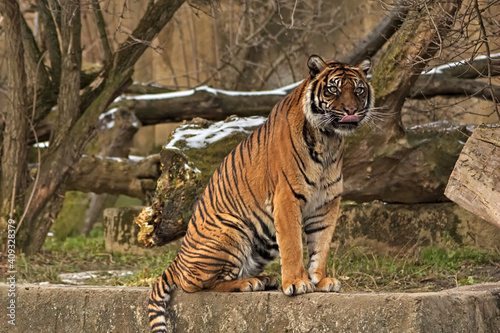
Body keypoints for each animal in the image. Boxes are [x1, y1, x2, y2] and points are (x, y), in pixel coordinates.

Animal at [148, 54, 376, 330]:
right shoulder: (286, 197)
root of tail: (177, 260)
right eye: (334, 89)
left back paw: (265, 280)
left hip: (262, 243)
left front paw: (320, 280)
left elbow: (321, 245)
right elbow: (293, 245)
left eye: (359, 90)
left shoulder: (327, 203)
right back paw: (249, 283)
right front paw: (298, 283)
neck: (329, 140)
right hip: (232, 230)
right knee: (196, 284)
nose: (352, 110)